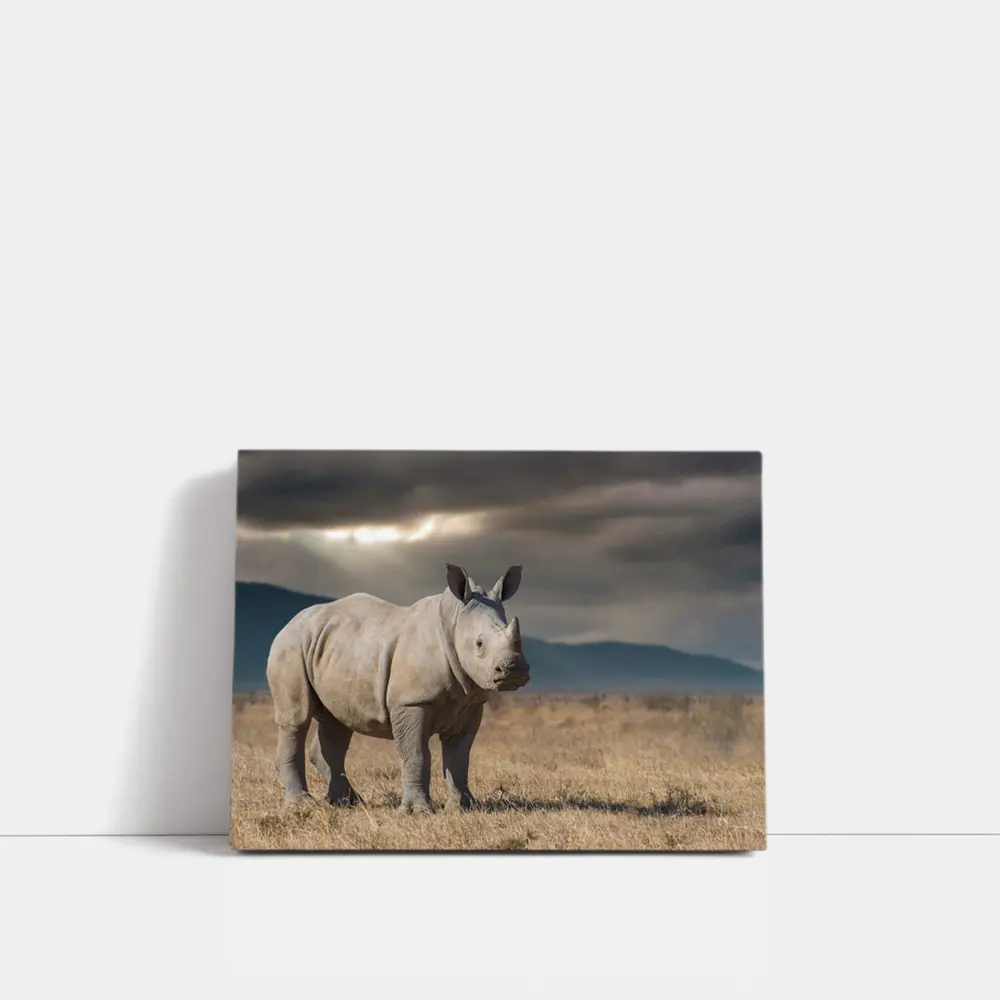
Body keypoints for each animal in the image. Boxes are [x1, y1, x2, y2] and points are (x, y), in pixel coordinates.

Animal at [266, 563, 529, 813]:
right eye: (479, 644)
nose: (513, 670)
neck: (454, 621)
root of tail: (289, 622)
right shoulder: (411, 702)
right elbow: (416, 755)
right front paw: (416, 811)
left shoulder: (470, 703)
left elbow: (459, 757)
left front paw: (463, 807)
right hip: (290, 646)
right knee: (296, 719)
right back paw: (302, 805)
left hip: (334, 649)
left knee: (337, 721)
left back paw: (347, 803)